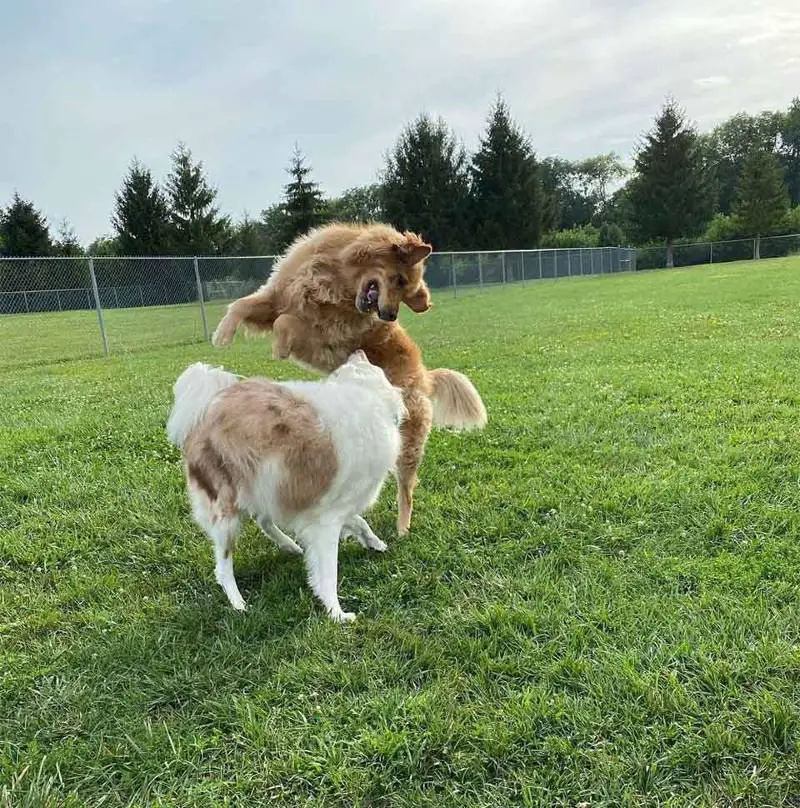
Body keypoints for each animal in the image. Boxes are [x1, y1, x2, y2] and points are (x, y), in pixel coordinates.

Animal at [167, 350, 406, 620]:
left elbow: (359, 522)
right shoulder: (326, 520)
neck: (364, 394)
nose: (359, 351)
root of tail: (202, 411)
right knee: (223, 566)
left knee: (262, 519)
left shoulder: (329, 506)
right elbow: (328, 572)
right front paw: (337, 613)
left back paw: (290, 546)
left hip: (266, 484)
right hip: (226, 509)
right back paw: (238, 603)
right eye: (372, 365)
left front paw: (375, 543)